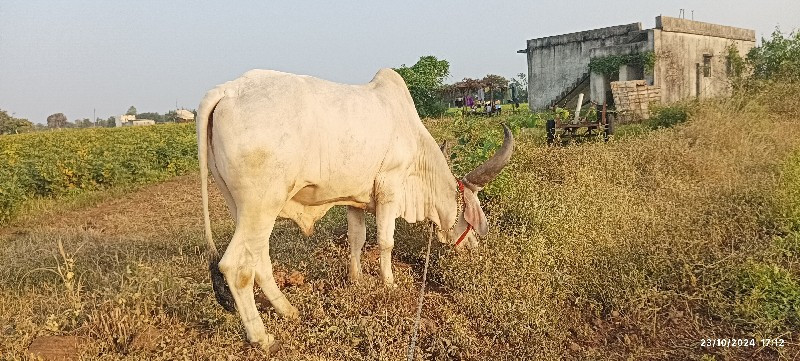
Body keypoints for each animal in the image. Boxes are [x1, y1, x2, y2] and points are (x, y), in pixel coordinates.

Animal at [197, 67, 516, 348]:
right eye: (469, 216)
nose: (474, 246)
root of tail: (227, 91)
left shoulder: (356, 199)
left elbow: (357, 239)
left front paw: (357, 279)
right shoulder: (389, 187)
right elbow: (385, 242)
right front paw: (389, 283)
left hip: (243, 207)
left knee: (259, 259)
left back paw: (288, 310)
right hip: (261, 205)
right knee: (236, 267)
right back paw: (261, 337)